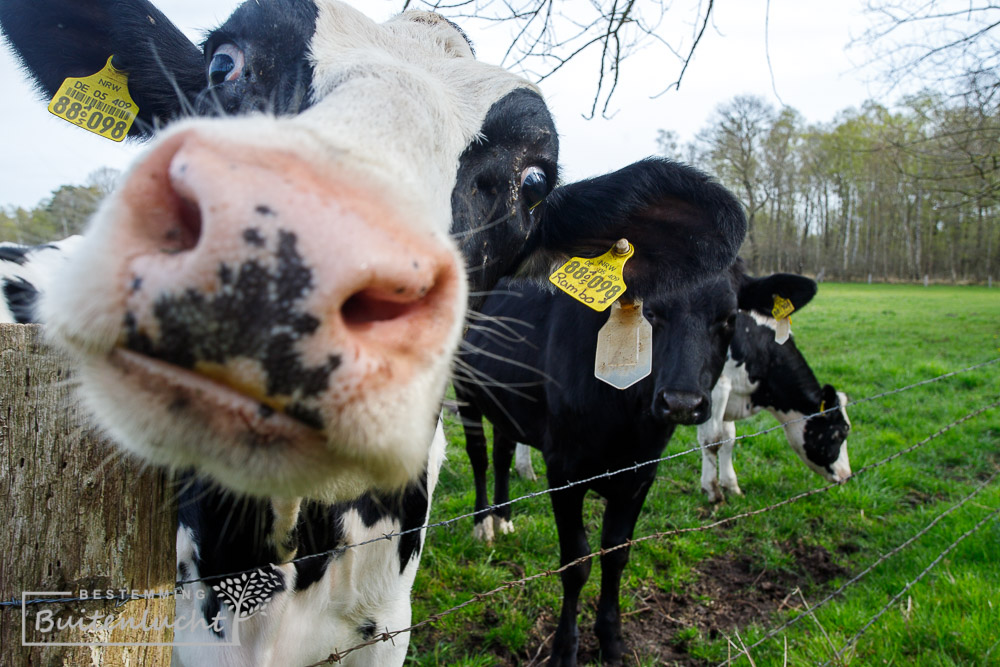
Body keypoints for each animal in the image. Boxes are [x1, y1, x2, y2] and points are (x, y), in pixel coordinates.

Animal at [458, 264, 816, 664]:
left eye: (728, 318)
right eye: (652, 311)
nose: (681, 402)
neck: (625, 418)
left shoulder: (641, 473)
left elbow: (616, 554)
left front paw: (611, 641)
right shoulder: (564, 471)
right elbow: (576, 562)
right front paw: (565, 649)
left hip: (506, 402)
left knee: (502, 452)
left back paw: (503, 519)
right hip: (465, 389)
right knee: (479, 455)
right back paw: (483, 525)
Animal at [696, 276, 852, 500]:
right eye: (840, 434)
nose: (847, 475)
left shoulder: (731, 394)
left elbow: (729, 438)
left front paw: (731, 486)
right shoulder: (718, 389)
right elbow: (712, 440)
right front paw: (712, 491)